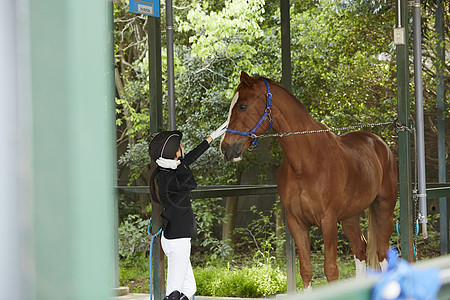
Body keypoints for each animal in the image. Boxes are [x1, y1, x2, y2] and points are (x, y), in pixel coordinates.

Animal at [221, 71, 398, 290]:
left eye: (242, 106)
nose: (226, 149)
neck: (306, 163)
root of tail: (380, 144)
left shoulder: (328, 221)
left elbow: (331, 270)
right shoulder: (296, 222)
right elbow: (306, 270)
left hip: (384, 209)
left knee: (382, 253)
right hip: (350, 217)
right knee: (360, 249)